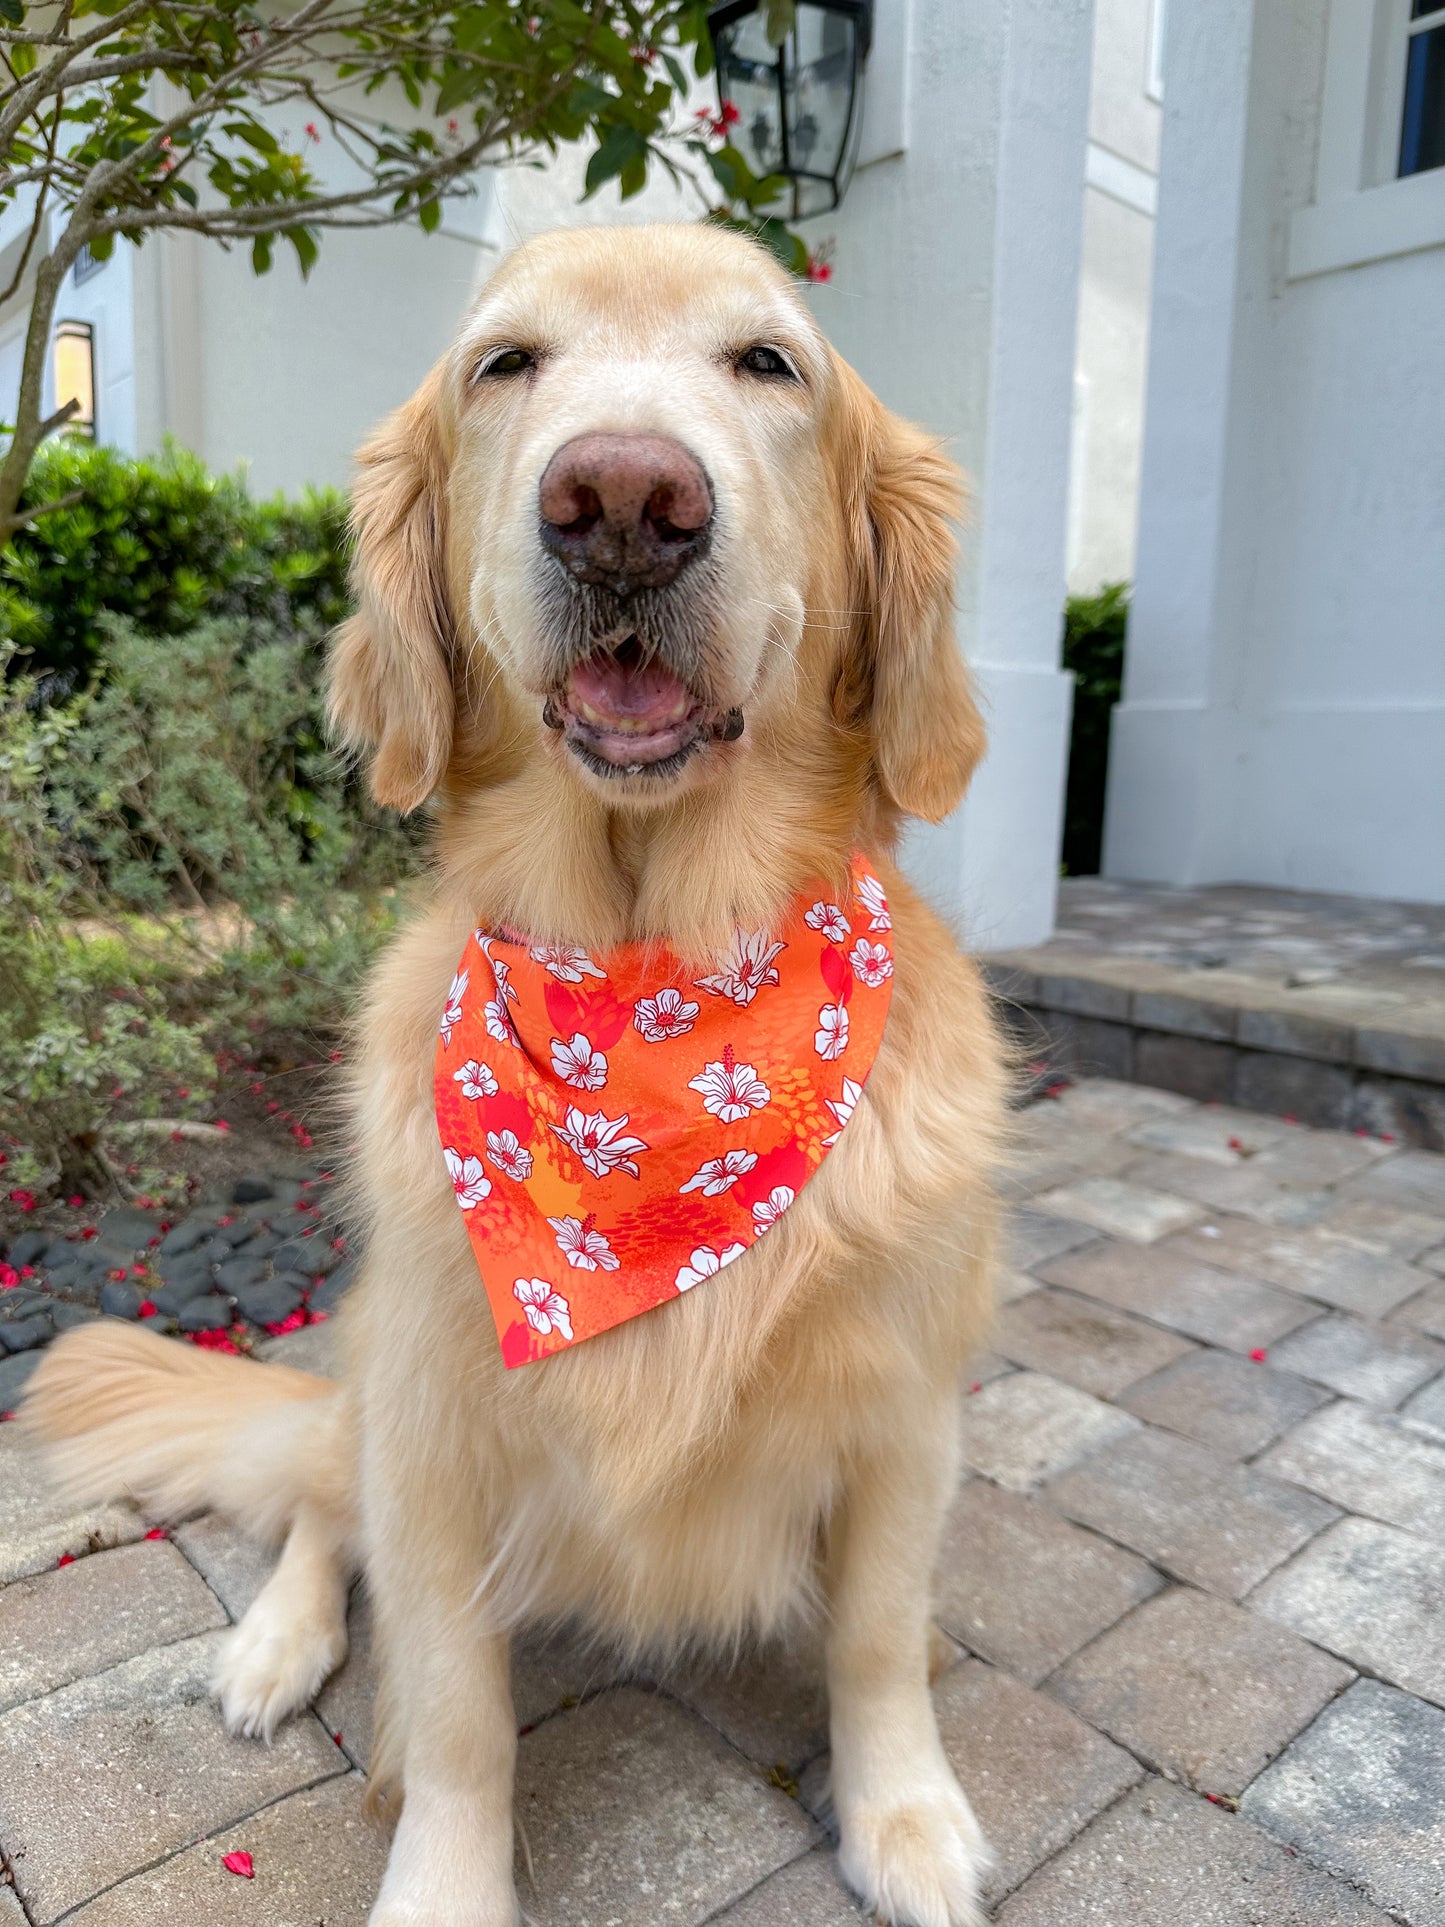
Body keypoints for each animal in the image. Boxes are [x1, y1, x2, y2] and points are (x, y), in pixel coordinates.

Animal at [28, 221, 1009, 1927]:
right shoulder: (437, 1435)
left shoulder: (900, 1414)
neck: (656, 983)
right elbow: (455, 1712)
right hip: (371, 1366)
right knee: (314, 1505)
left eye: (770, 362)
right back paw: (273, 1643)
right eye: (505, 364)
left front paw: (903, 1815)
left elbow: (880, 1636)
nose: (622, 501)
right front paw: (444, 1879)